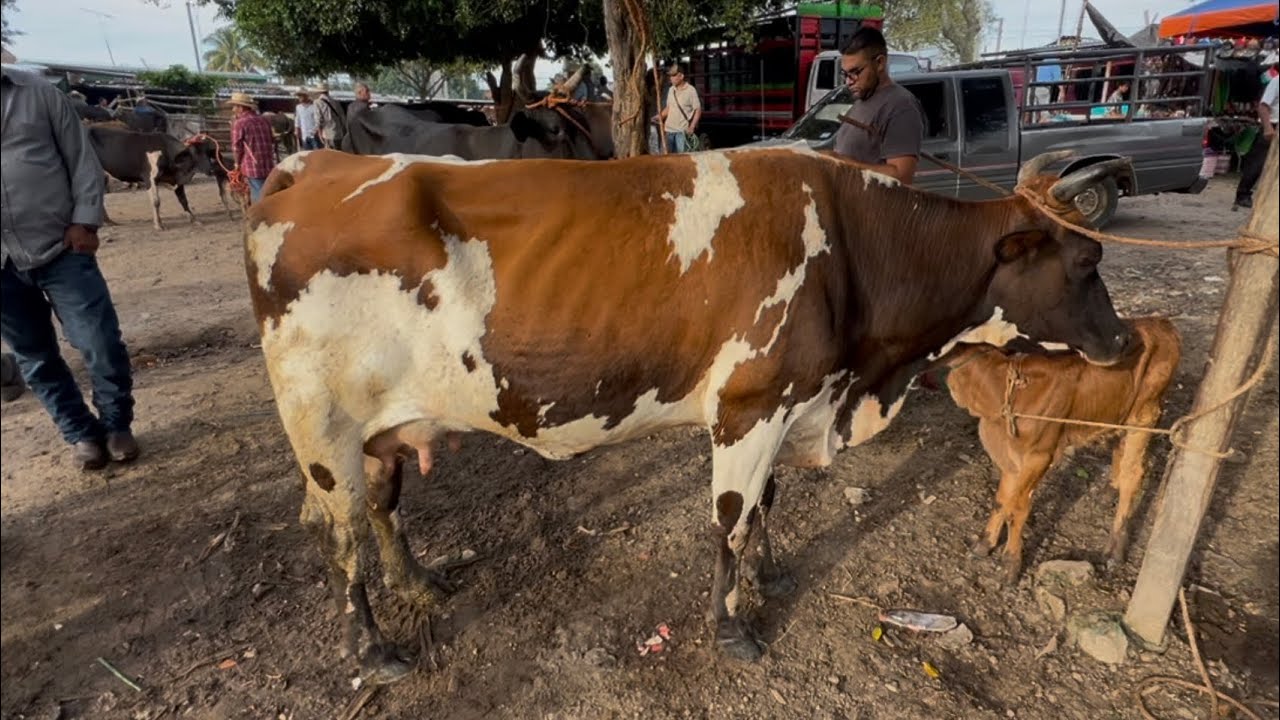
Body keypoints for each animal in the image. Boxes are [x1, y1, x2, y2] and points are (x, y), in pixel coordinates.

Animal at [87, 126, 236, 230]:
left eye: (208, 153)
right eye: (194, 154)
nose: (210, 170)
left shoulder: (178, 181)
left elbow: (184, 201)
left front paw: (195, 220)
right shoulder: (150, 179)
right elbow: (156, 202)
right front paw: (158, 225)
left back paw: (108, 222)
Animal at [244, 146, 1135, 683]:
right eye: (1087, 260)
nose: (1126, 341)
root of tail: (317, 161)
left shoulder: (790, 399)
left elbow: (768, 504)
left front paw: (768, 576)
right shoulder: (749, 405)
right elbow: (731, 520)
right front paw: (732, 626)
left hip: (380, 430)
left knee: (383, 511)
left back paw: (419, 583)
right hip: (321, 426)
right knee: (341, 540)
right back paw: (375, 650)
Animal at [939, 316, 1181, 584]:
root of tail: (1162, 323)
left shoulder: (1039, 455)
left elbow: (1018, 507)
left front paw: (1010, 563)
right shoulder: (1009, 455)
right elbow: (1002, 500)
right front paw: (985, 542)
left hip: (1145, 413)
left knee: (1134, 473)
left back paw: (1115, 548)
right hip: (1120, 414)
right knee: (1120, 447)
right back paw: (1109, 491)